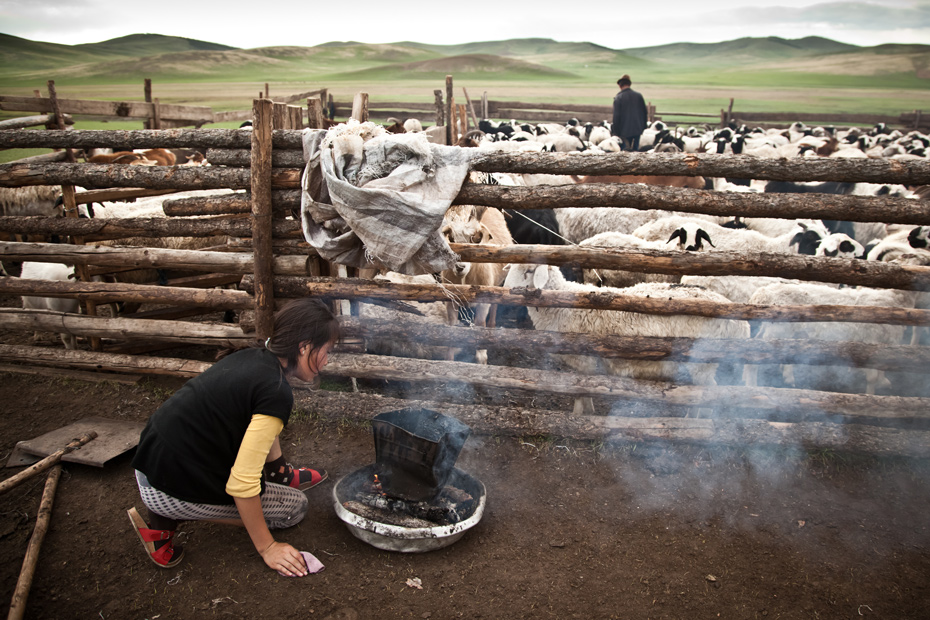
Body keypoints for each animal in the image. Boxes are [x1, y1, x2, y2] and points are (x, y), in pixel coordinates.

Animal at [500, 262, 748, 414]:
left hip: (703, 362)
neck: (562, 306)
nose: (504, 291)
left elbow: (579, 391)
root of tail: (741, 324)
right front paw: (589, 413)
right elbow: (586, 390)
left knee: (709, 393)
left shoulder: (584, 359)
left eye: (529, 271)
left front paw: (577, 417)